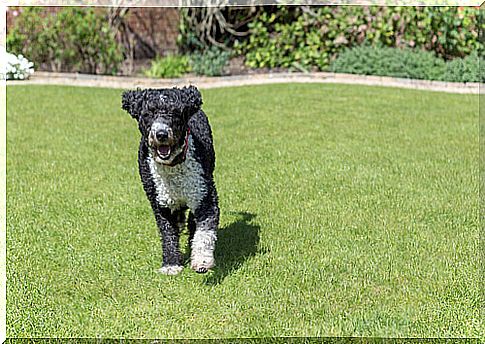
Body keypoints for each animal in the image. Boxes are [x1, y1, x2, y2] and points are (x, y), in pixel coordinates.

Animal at [121, 86, 219, 274]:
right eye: (148, 114)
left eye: (174, 113)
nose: (161, 134)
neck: (172, 166)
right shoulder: (160, 203)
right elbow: (168, 234)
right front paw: (171, 264)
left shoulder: (204, 196)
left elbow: (205, 232)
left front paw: (202, 260)